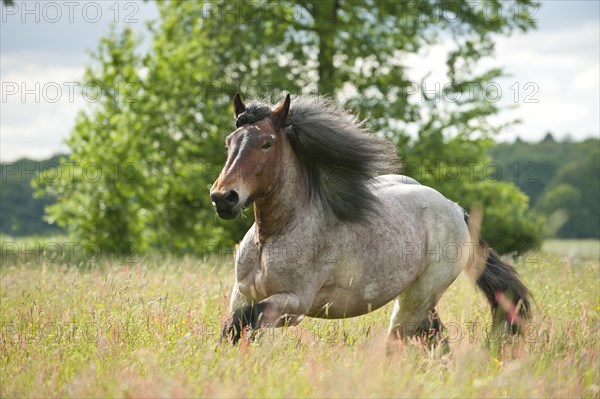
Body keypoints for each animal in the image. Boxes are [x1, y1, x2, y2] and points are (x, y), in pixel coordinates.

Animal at [210, 93, 528, 346]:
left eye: (267, 143)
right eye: (229, 142)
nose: (223, 198)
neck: (274, 234)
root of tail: (456, 209)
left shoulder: (294, 303)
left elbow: (240, 323)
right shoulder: (243, 293)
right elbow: (235, 325)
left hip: (418, 298)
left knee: (400, 340)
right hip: (416, 298)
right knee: (435, 337)